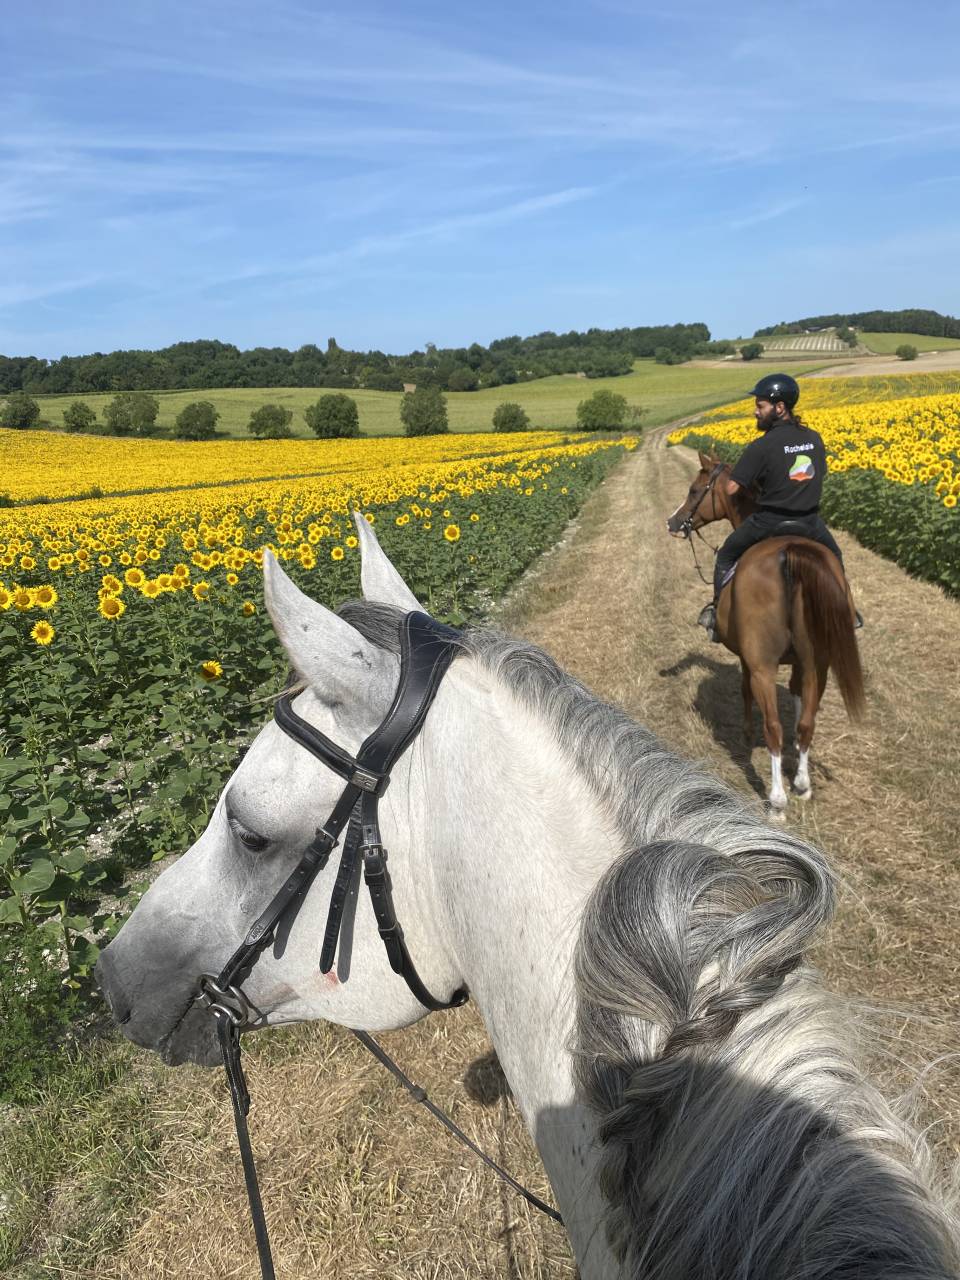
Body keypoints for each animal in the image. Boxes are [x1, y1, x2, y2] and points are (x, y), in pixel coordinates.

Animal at [666, 450, 865, 814]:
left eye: (694, 490)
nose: (673, 523)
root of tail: (791, 553)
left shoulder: (748, 659)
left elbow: (746, 693)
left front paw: (746, 732)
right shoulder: (801, 663)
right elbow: (800, 710)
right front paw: (799, 769)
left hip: (763, 665)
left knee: (772, 727)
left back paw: (777, 800)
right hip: (819, 664)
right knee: (807, 724)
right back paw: (802, 785)